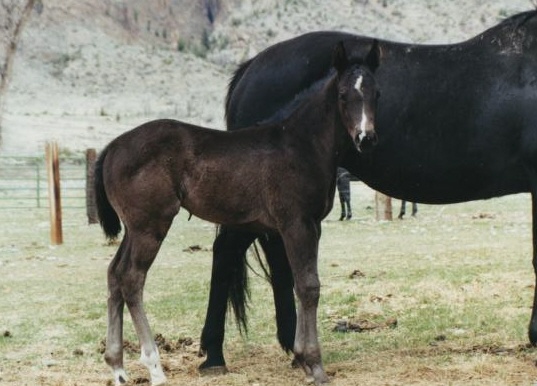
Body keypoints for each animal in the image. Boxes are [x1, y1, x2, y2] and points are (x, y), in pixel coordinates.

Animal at [93, 40, 376, 384]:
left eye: (375, 93)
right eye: (344, 95)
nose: (366, 138)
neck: (300, 144)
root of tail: (111, 148)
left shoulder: (312, 226)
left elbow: (302, 284)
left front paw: (303, 358)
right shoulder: (297, 224)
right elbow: (309, 286)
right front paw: (314, 364)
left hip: (134, 229)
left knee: (114, 275)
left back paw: (117, 365)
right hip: (150, 226)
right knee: (132, 279)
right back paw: (155, 367)